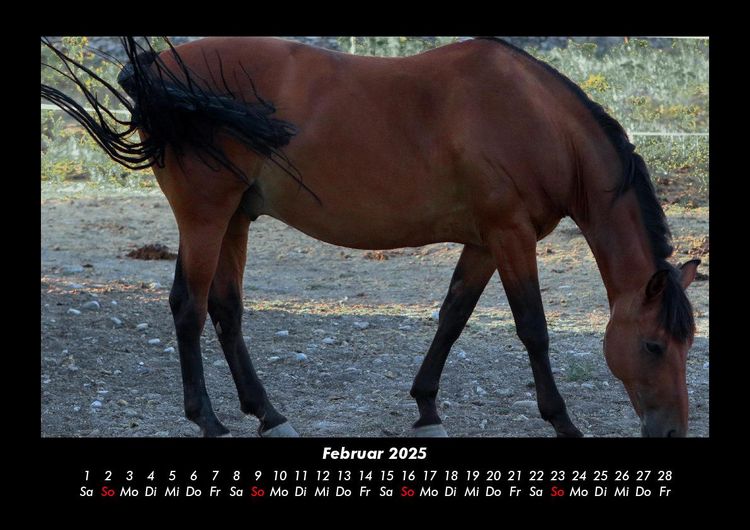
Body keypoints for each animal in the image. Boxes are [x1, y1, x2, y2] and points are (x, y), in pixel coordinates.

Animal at [41, 36, 701, 438]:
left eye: (686, 345)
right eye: (652, 347)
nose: (671, 431)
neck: (535, 118)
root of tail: (158, 68)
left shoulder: (484, 243)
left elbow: (452, 316)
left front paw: (427, 406)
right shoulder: (511, 237)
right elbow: (533, 331)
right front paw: (562, 421)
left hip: (234, 219)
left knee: (226, 310)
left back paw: (268, 413)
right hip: (205, 218)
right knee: (190, 307)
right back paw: (209, 419)